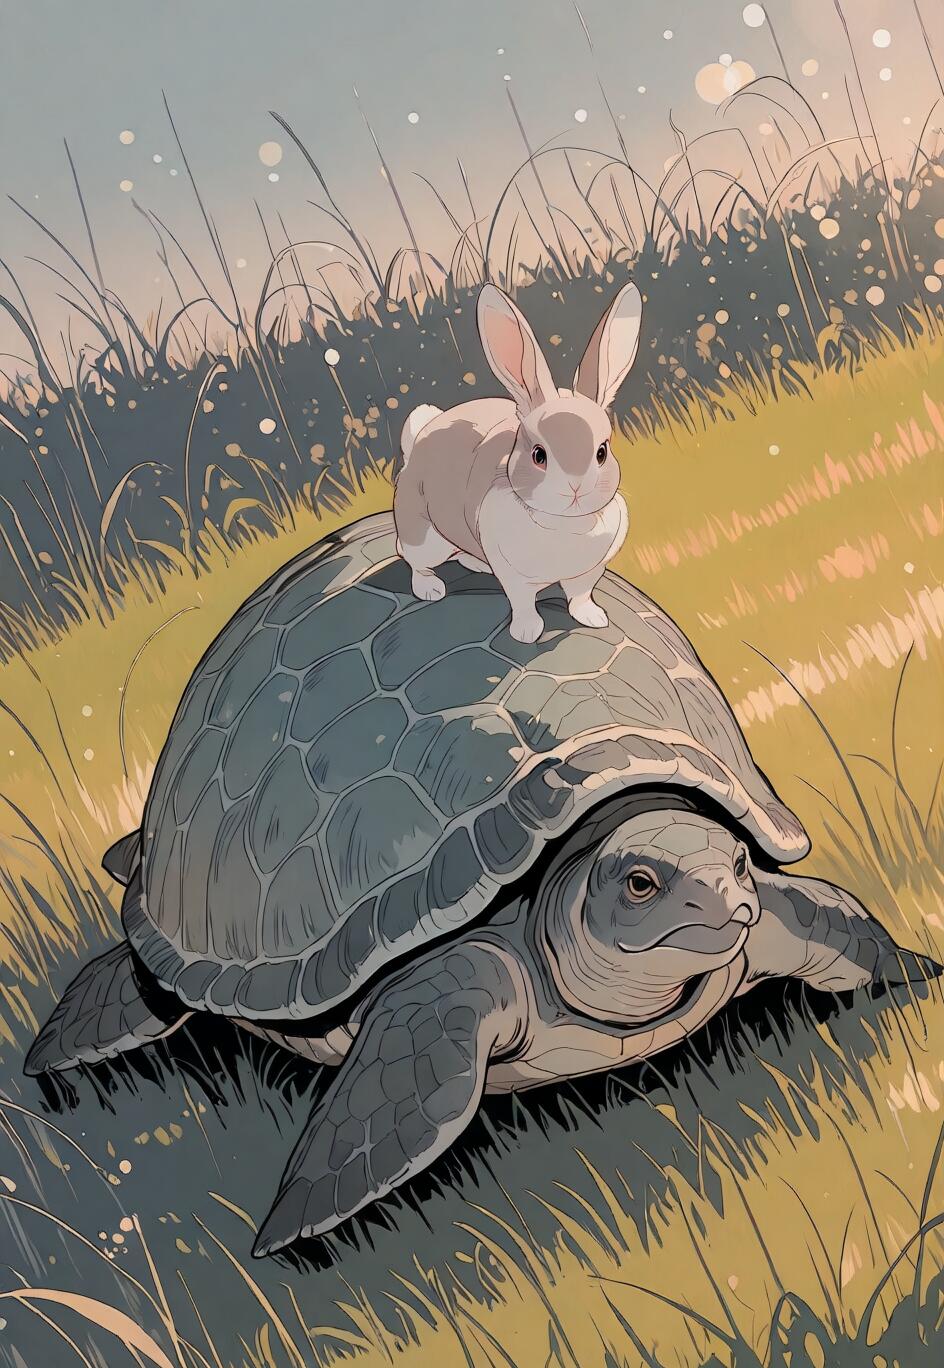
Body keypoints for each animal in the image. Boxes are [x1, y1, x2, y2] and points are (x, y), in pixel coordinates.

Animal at [393, 279, 643, 642]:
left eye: (601, 452)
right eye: (539, 455)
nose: (576, 488)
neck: (564, 525)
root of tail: (417, 443)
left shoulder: (588, 573)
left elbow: (580, 596)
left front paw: (594, 618)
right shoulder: (515, 579)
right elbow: (523, 603)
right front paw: (527, 633)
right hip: (423, 536)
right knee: (413, 559)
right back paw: (430, 589)